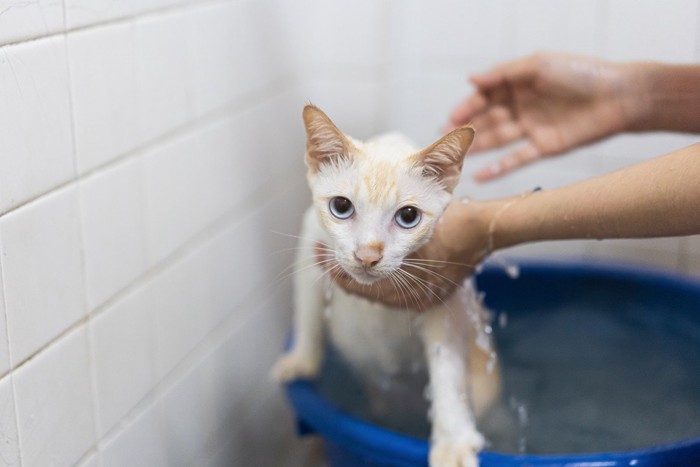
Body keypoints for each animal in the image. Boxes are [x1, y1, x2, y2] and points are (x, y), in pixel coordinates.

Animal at [272, 106, 498, 467]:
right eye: (341, 207)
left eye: (408, 217)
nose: (367, 255)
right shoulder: (309, 247)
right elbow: (306, 311)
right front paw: (302, 359)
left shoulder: (445, 296)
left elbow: (446, 370)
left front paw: (453, 439)